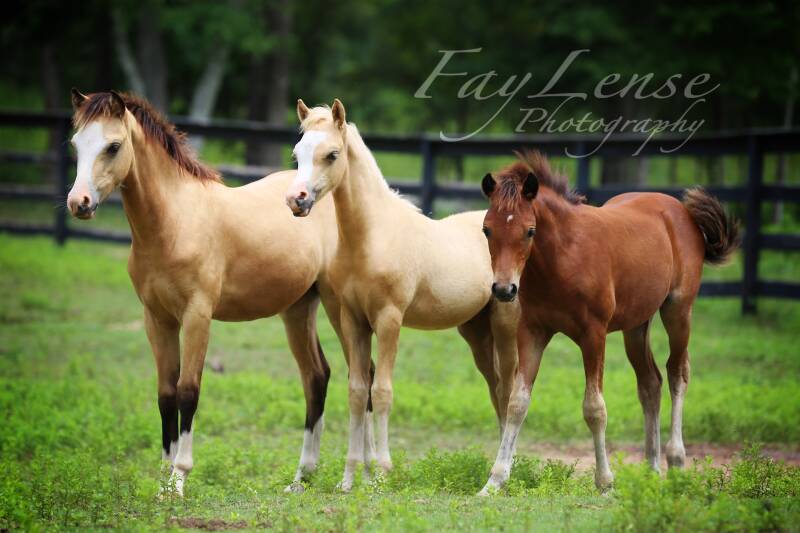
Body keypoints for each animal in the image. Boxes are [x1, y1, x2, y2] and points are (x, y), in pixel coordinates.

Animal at [67, 89, 348, 495]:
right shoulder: (157, 319)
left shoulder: (197, 316)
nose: (79, 203)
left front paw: (179, 477)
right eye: (76, 145)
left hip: (340, 307)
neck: (174, 224)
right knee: (316, 376)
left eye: (113, 145)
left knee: (363, 375)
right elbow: (166, 394)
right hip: (297, 309)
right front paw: (163, 479)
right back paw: (302, 477)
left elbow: (188, 390)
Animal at [283, 99, 519, 491]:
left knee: (509, 389)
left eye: (332, 154)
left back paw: (506, 472)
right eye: (296, 153)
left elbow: (382, 392)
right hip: (476, 332)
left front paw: (382, 473)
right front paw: (349, 480)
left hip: (505, 325)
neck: (370, 238)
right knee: (497, 388)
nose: (296, 200)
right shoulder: (353, 321)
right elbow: (357, 391)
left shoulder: (389, 319)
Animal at [478, 150, 739, 495]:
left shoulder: (594, 334)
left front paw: (605, 482)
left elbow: (594, 408)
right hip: (636, 324)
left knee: (677, 372)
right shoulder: (532, 332)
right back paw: (651, 470)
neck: (563, 257)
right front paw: (494, 481)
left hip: (678, 310)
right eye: (487, 230)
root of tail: (681, 210)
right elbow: (517, 403)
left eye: (530, 231)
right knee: (650, 382)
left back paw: (676, 462)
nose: (504, 290)